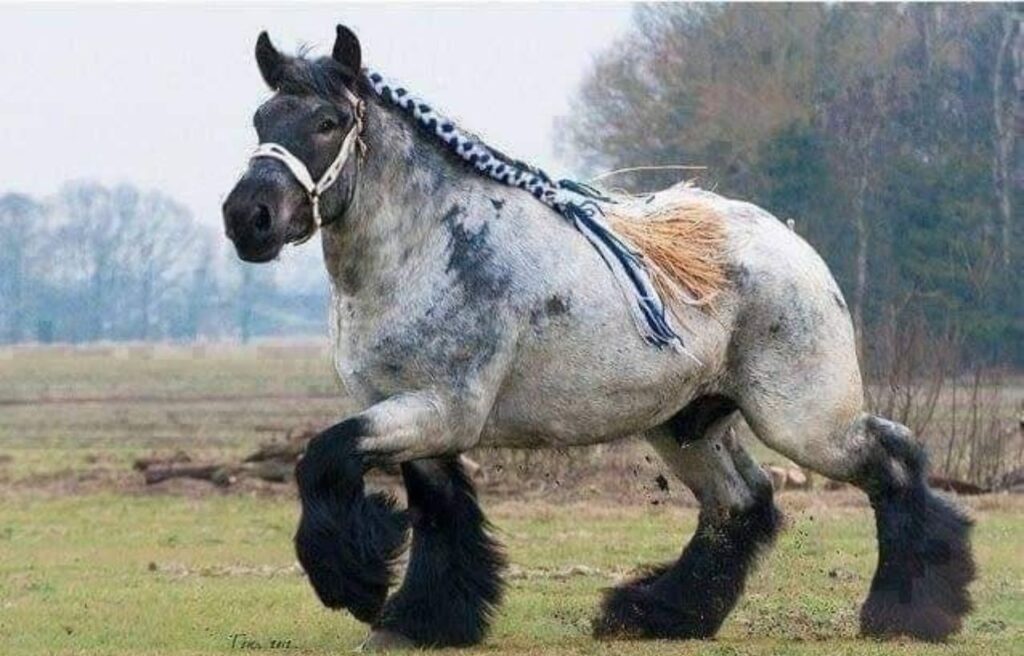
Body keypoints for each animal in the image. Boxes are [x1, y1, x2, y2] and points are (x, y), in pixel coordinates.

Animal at [221, 25, 975, 650]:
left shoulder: (439, 409)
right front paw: (420, 622)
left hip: (803, 420)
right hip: (688, 423)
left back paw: (908, 611)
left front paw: (355, 583)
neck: (424, 246)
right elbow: (439, 513)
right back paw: (659, 614)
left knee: (892, 460)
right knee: (740, 502)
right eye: (260, 119)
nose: (247, 218)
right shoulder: (415, 417)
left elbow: (322, 459)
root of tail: (793, 245)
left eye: (327, 122)